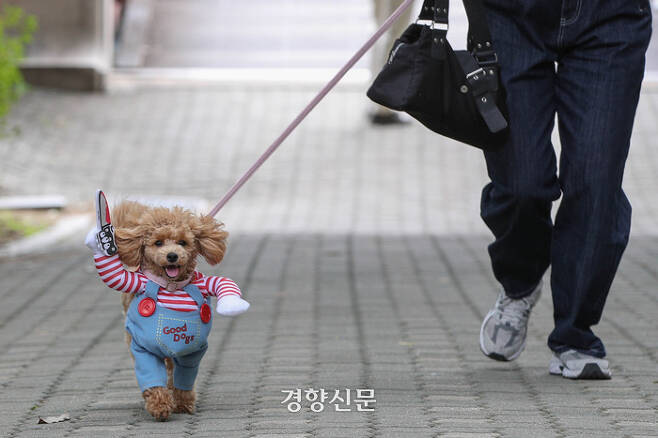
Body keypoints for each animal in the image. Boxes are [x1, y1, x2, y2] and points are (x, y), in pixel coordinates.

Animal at [86, 199, 249, 420]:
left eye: (182, 242)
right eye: (158, 243)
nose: (172, 256)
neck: (171, 286)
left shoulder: (191, 353)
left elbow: (184, 378)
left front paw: (183, 402)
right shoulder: (142, 348)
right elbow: (152, 379)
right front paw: (160, 406)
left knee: (172, 371)